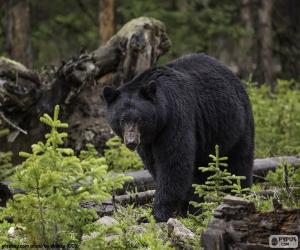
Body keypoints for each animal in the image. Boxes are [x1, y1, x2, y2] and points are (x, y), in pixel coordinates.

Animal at [102, 53, 254, 222]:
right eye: (122, 120)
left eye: (139, 119)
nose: (131, 142)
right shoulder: (148, 142)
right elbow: (155, 165)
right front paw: (184, 208)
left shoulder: (176, 117)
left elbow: (173, 163)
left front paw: (155, 214)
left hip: (236, 123)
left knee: (239, 163)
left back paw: (238, 194)